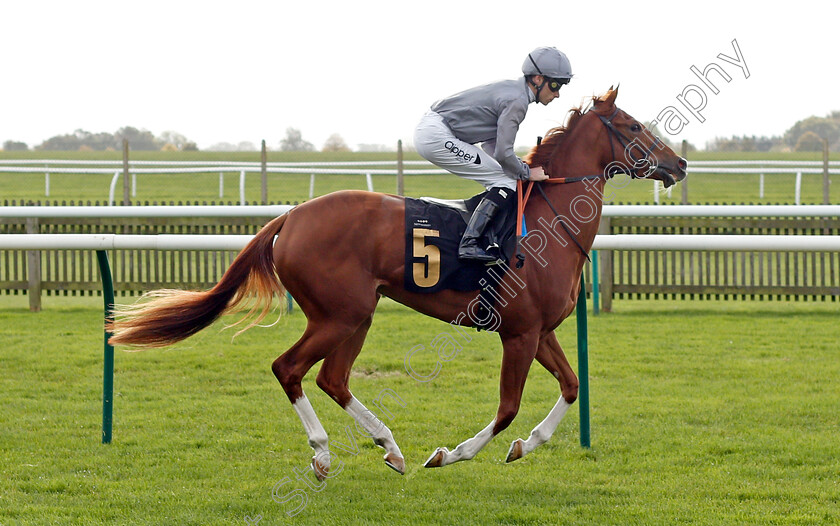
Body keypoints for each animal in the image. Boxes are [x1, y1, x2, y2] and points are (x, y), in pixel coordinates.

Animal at [108, 88, 684, 480]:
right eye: (634, 126)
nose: (678, 163)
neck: (548, 222)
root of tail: (290, 217)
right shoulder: (517, 333)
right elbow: (506, 408)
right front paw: (451, 453)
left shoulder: (541, 331)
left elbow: (570, 385)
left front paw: (525, 445)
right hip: (340, 313)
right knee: (289, 368)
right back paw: (324, 453)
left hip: (356, 315)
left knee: (332, 379)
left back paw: (390, 447)